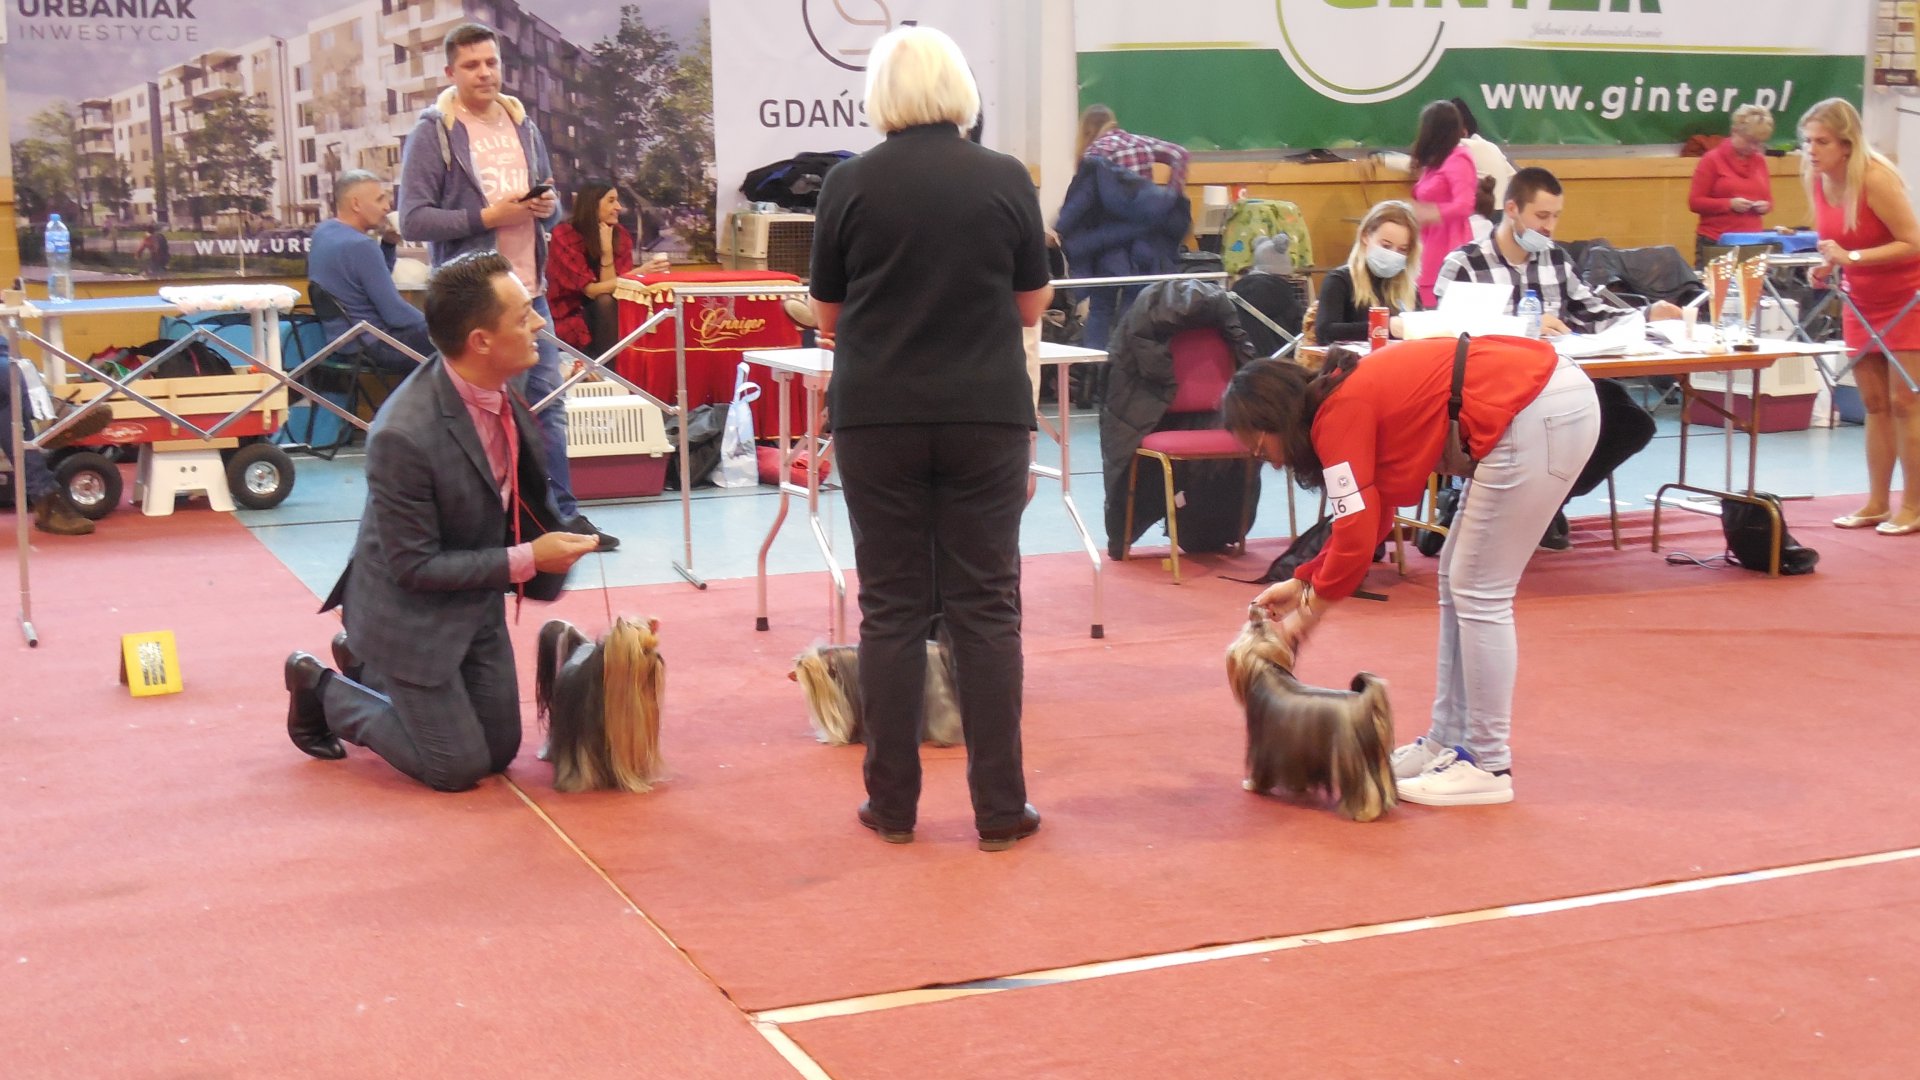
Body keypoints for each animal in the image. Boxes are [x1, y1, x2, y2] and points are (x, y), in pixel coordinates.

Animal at [1225, 603, 1396, 822]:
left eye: (1250, 628)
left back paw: (1364, 812)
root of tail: (1363, 701)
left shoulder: (1262, 746)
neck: (1267, 669)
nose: (1256, 607)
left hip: (1352, 757)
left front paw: (1252, 784)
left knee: (1366, 786)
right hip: (1378, 753)